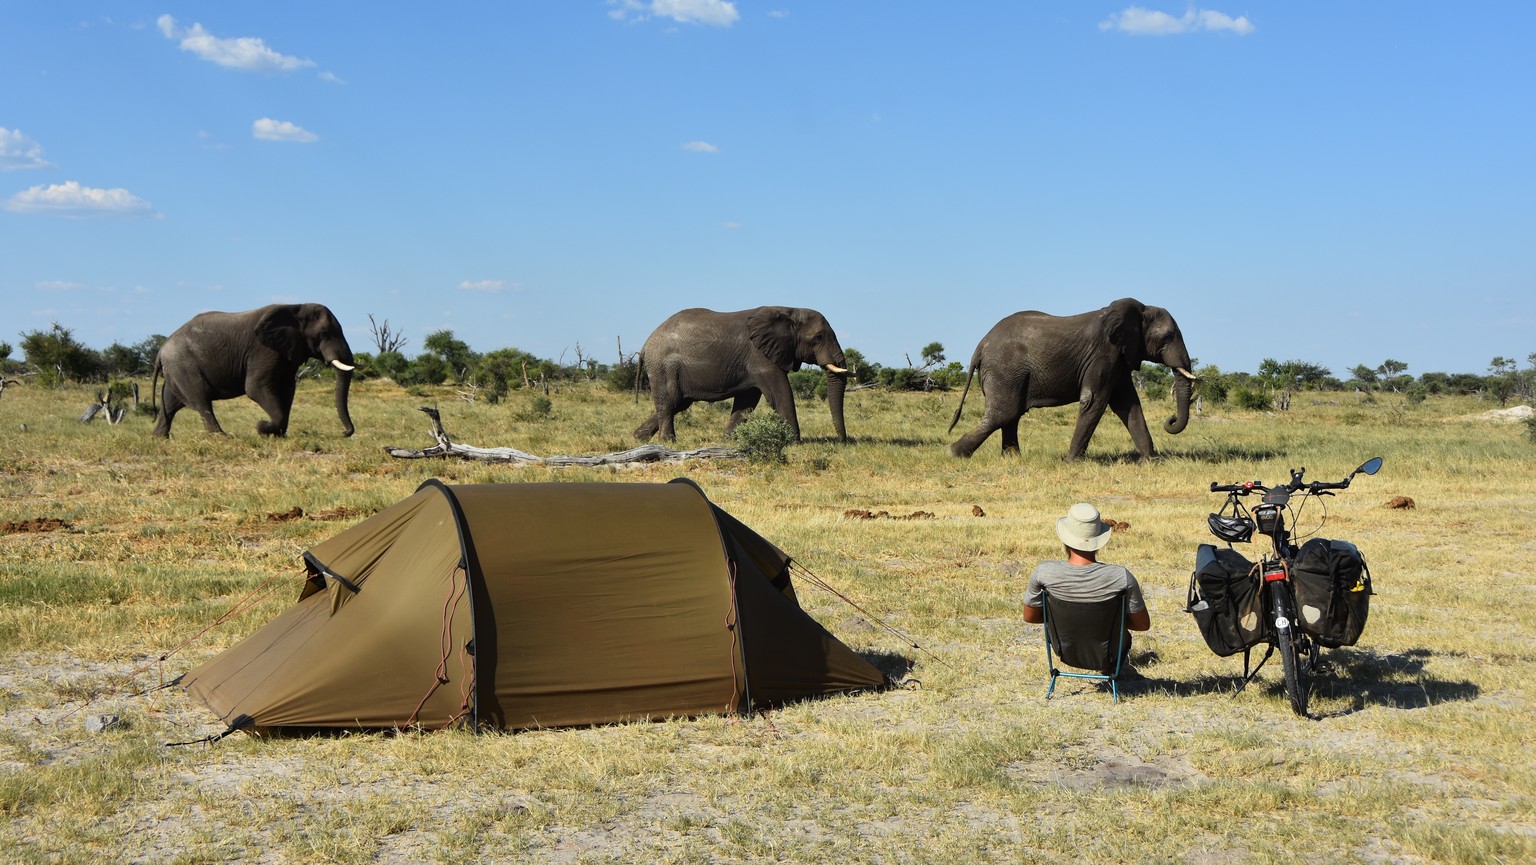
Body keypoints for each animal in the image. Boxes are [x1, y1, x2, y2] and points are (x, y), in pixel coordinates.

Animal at [155, 304, 359, 439]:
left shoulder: (287, 351)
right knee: (201, 399)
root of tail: (161, 349)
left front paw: (278, 435)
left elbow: (287, 390)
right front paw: (262, 427)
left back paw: (159, 437)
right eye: (323, 334)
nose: (344, 432)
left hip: (176, 368)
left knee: (171, 403)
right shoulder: (264, 350)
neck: (296, 308)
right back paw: (222, 437)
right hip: (184, 365)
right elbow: (255, 388)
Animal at [632, 307, 854, 442]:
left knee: (679, 403)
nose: (843, 441)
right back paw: (667, 442)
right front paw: (794, 442)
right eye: (818, 338)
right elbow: (780, 394)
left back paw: (639, 437)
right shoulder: (760, 357)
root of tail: (645, 345)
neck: (789, 310)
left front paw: (727, 441)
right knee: (669, 402)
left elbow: (746, 402)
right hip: (664, 367)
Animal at [946, 298, 1198, 460]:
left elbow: (1128, 404)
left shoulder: (1118, 358)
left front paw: (1152, 461)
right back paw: (954, 453)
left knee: (1011, 415)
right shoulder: (1103, 353)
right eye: (1168, 337)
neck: (1140, 310)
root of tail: (981, 345)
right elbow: (1094, 400)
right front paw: (1071, 461)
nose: (1170, 419)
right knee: (1003, 413)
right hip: (1004, 370)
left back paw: (1013, 459)